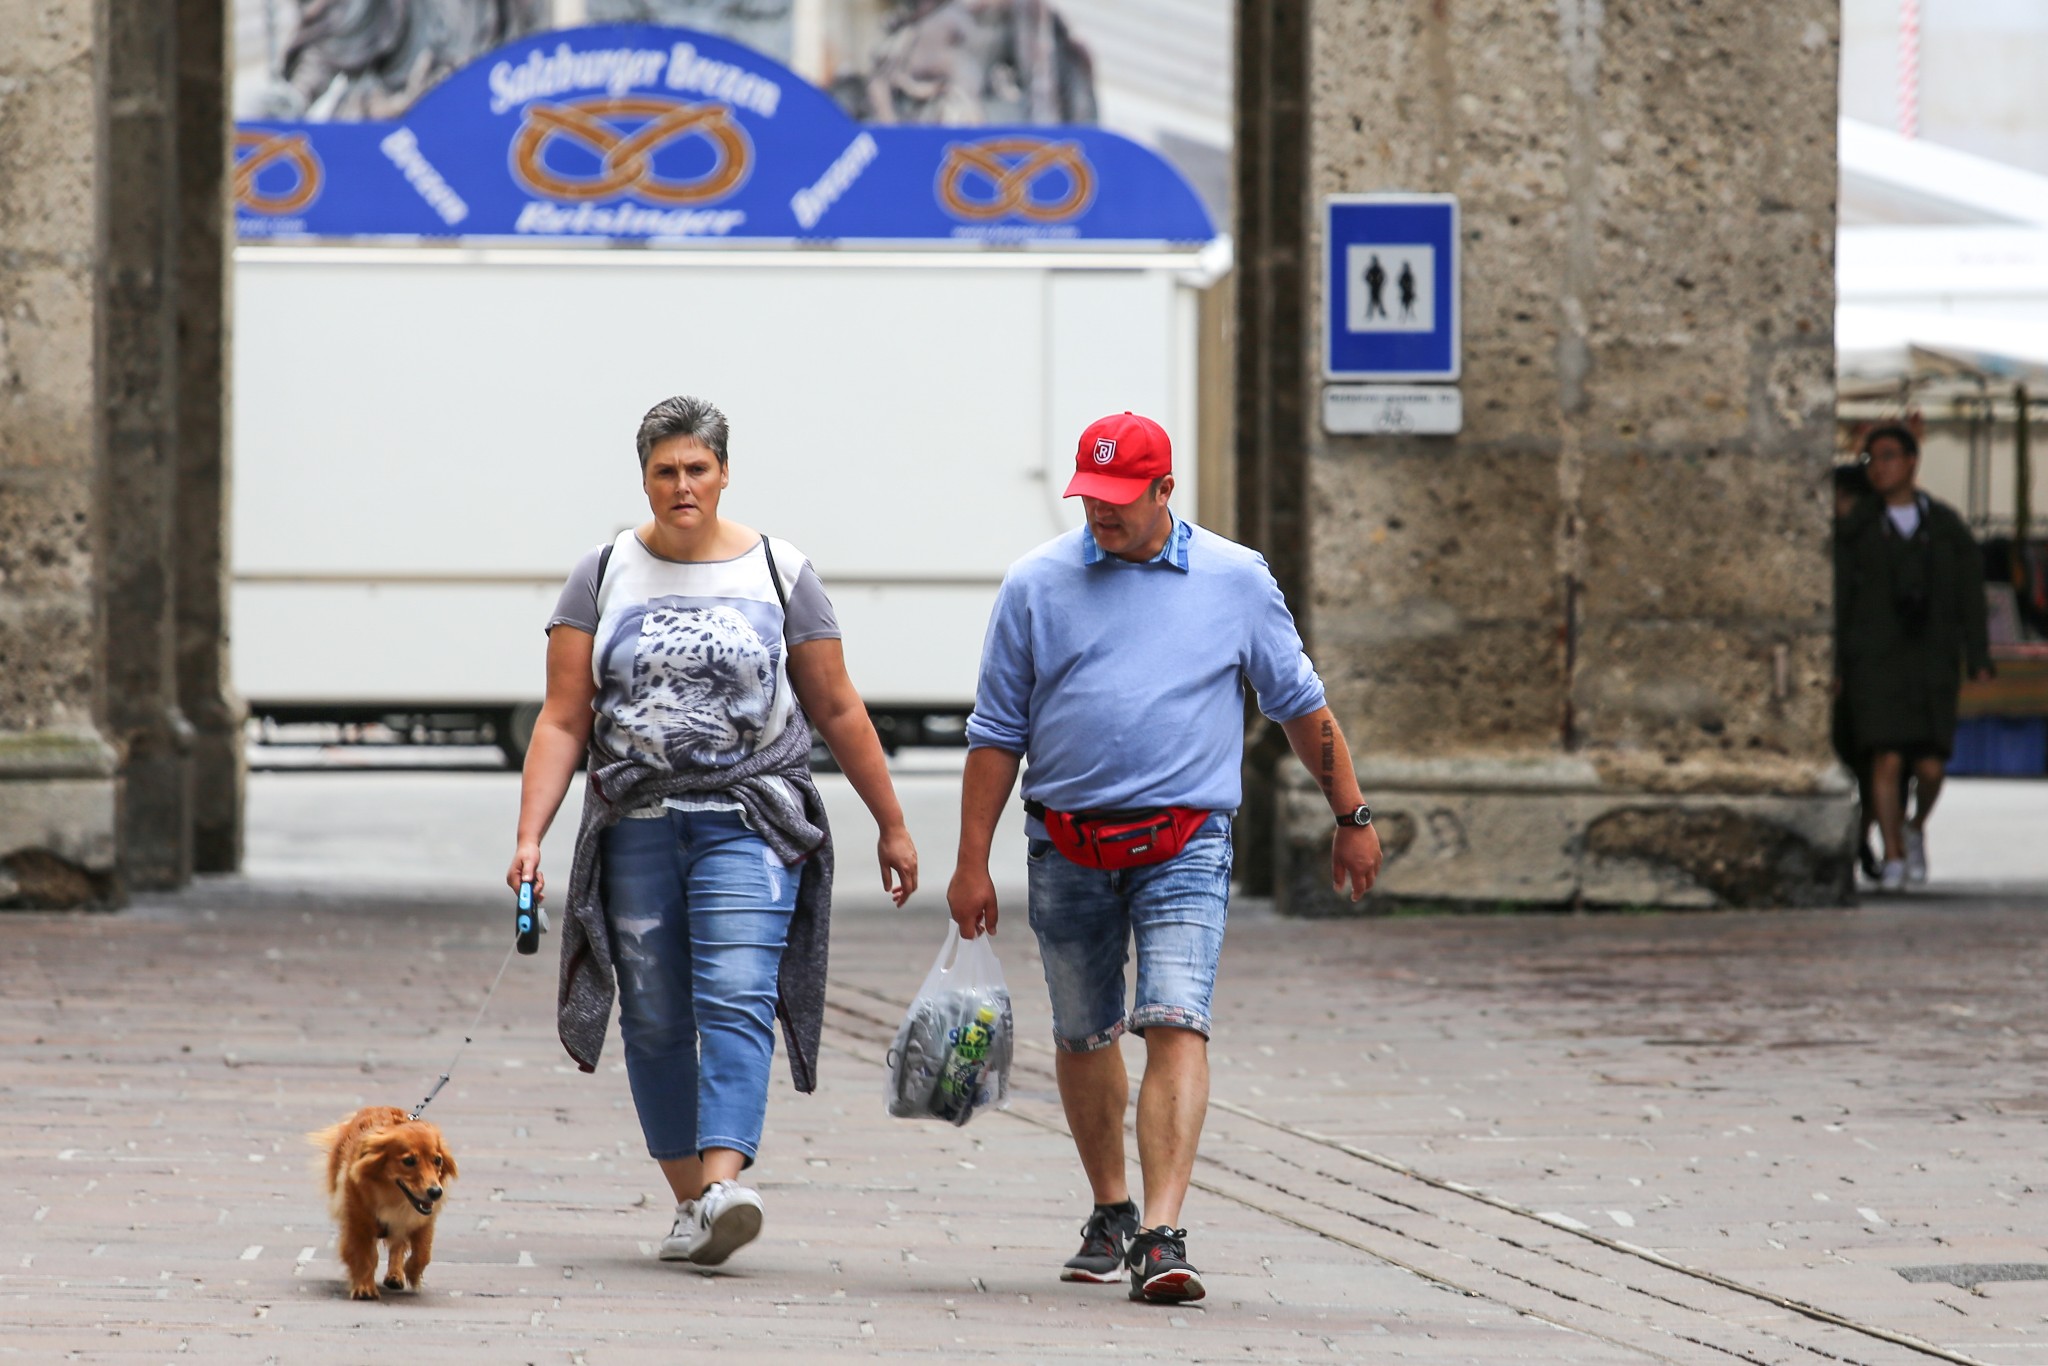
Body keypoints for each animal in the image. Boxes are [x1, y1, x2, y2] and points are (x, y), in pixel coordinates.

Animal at [303, 1097, 456, 1302]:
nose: (435, 1192)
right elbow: (364, 1255)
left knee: (398, 1246)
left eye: (437, 1160)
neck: (393, 1199)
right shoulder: (358, 1222)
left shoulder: (422, 1221)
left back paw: (395, 1275)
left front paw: (412, 1272)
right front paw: (364, 1287)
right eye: (409, 1161)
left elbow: (423, 1253)